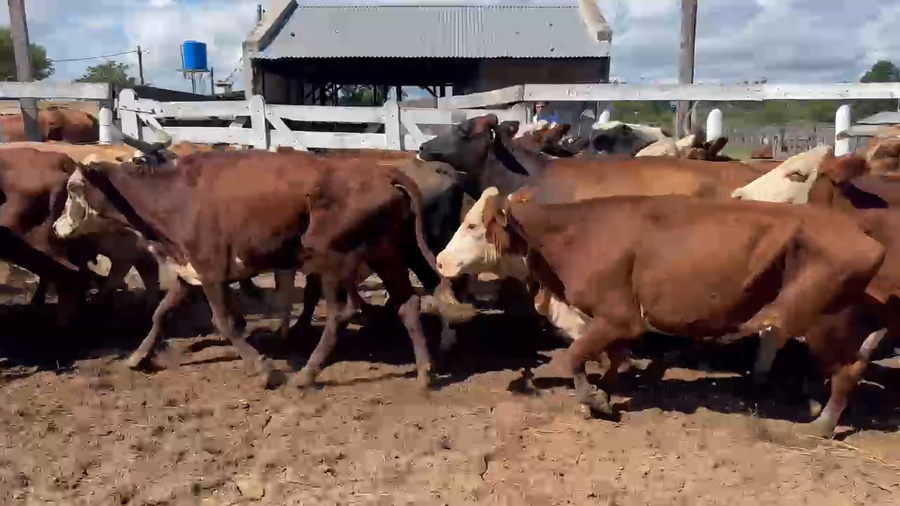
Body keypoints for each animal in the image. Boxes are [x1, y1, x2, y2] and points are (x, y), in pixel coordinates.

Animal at [437, 188, 885, 436]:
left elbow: (577, 355)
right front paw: (605, 393)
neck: (571, 237)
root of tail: (863, 235)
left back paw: (822, 426)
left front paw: (592, 400)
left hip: (822, 320)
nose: (440, 261)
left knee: (848, 370)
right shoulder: (616, 323)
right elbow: (611, 359)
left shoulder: (617, 316)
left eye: (473, 226)